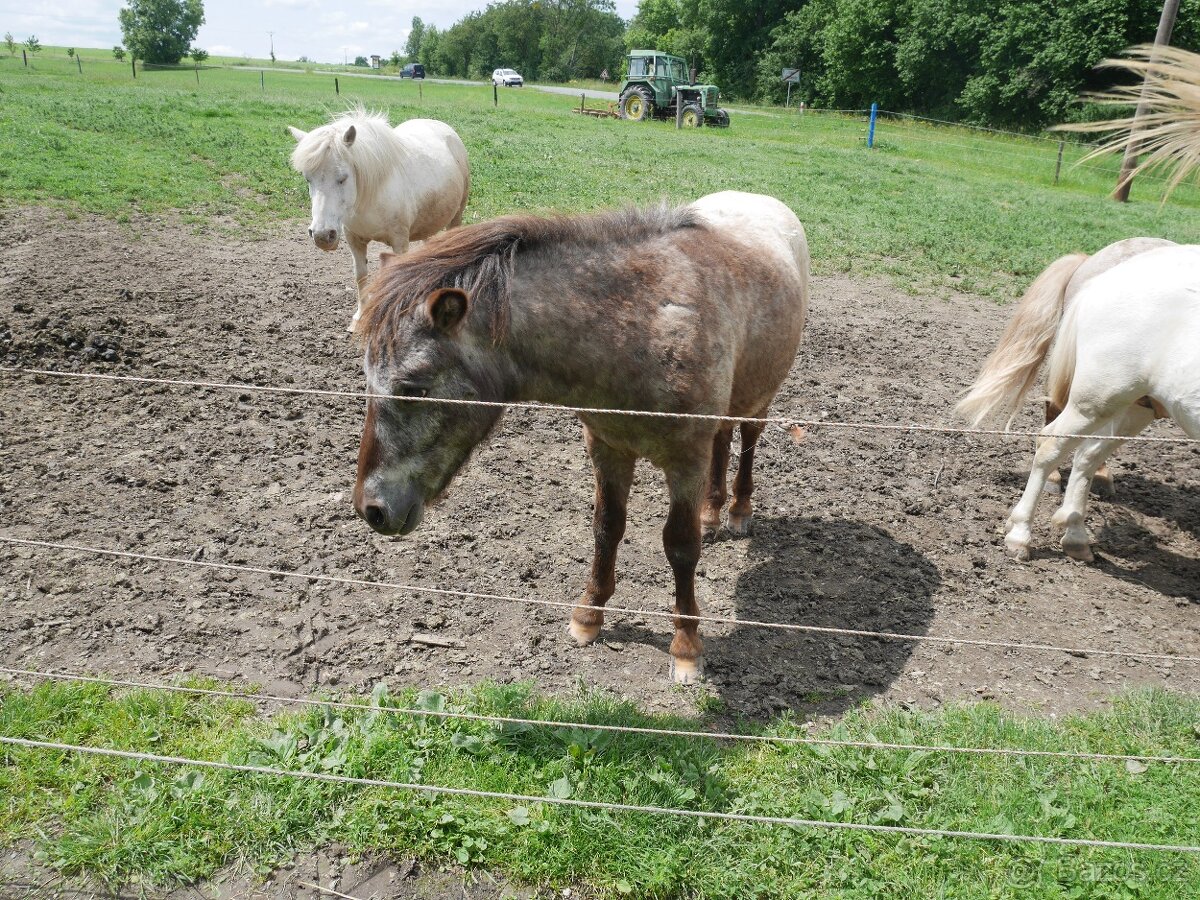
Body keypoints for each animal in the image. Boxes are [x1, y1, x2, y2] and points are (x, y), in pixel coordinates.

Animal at [288, 109, 471, 330]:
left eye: (343, 177)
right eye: (308, 178)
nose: (322, 236)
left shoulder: (400, 241)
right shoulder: (354, 239)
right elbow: (360, 275)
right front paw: (359, 317)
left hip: (457, 215)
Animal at [350, 191, 809, 684]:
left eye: (412, 387)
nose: (372, 509)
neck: (639, 327)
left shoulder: (686, 461)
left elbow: (681, 547)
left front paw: (687, 647)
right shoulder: (607, 447)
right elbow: (607, 528)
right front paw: (589, 615)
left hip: (760, 395)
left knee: (747, 438)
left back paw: (738, 511)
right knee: (722, 441)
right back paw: (712, 512)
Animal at [957, 243, 1200, 561]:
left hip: (1137, 404)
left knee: (1087, 453)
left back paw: (1075, 534)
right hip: (1098, 397)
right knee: (1053, 443)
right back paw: (1021, 534)